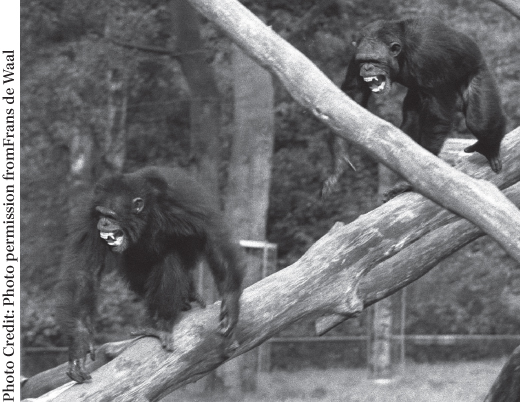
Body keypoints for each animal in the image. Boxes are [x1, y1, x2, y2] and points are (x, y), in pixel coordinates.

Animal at [57, 166, 244, 384]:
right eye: (100, 214)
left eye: (111, 216)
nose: (103, 223)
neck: (144, 214)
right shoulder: (89, 215)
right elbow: (84, 271)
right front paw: (79, 345)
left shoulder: (183, 202)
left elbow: (213, 236)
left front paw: (230, 302)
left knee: (170, 259)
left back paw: (162, 321)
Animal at [322, 16, 506, 195]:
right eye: (363, 60)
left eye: (375, 60)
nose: (367, 67)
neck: (402, 54)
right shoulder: (355, 57)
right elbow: (353, 93)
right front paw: (339, 163)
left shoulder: (430, 57)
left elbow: (438, 114)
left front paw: (422, 176)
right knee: (412, 118)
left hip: (479, 72)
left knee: (479, 121)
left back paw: (489, 148)